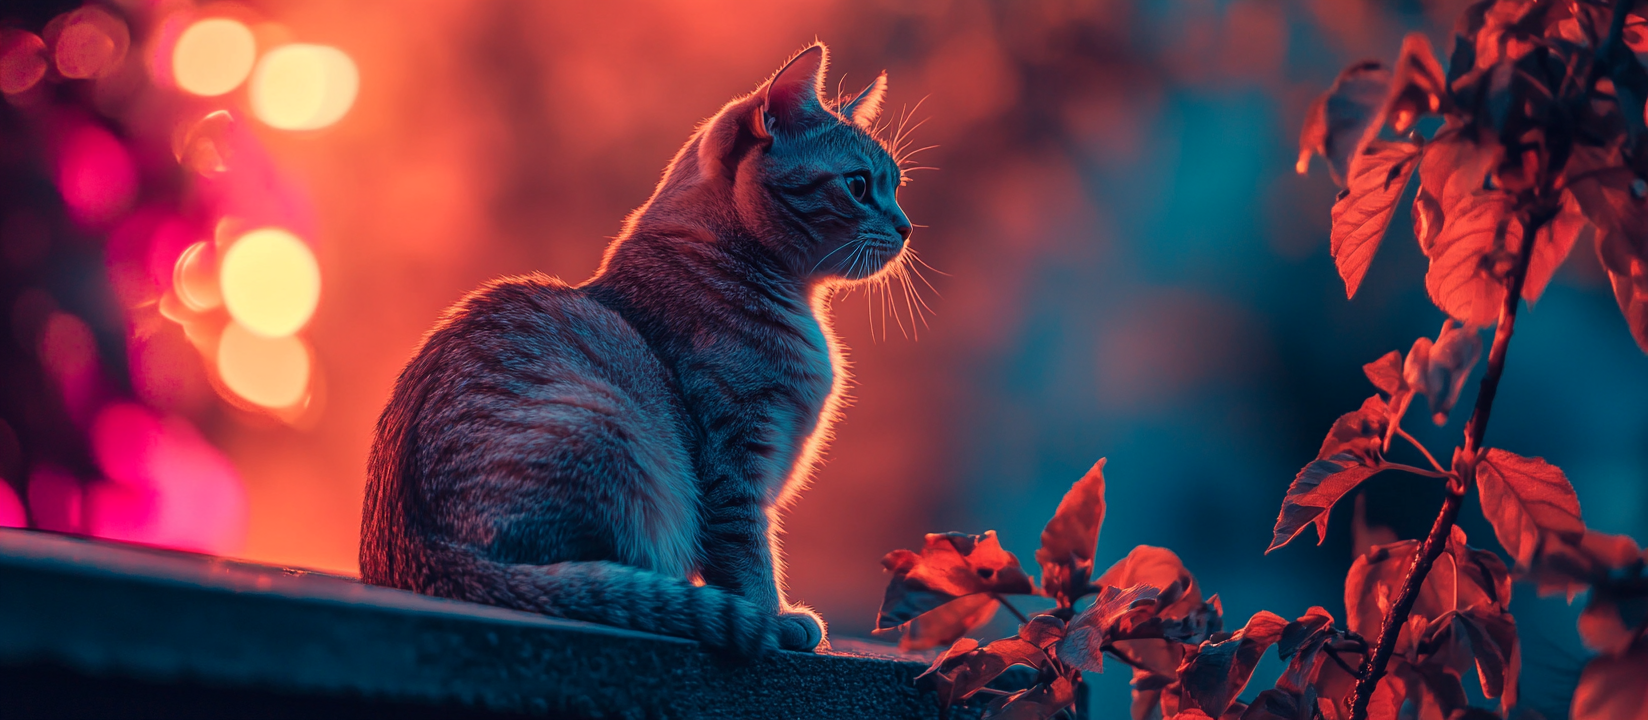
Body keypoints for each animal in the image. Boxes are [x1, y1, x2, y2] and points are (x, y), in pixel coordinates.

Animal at [360, 40, 916, 655]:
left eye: (896, 186)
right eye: (859, 186)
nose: (907, 226)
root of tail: (421, 556)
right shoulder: (733, 466)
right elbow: (747, 559)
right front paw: (774, 616)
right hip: (608, 429)